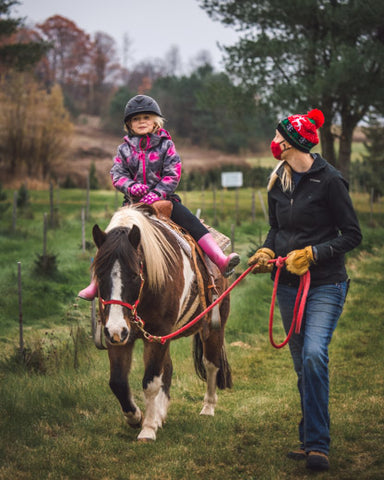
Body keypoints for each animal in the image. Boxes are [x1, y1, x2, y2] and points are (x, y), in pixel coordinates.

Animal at [91, 204, 232, 440]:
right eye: (99, 274)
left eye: (134, 275)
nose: (117, 329)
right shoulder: (118, 336)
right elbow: (118, 382)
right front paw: (136, 417)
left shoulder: (157, 333)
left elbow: (150, 382)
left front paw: (147, 429)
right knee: (168, 368)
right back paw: (160, 415)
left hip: (214, 328)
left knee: (211, 364)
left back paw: (208, 407)